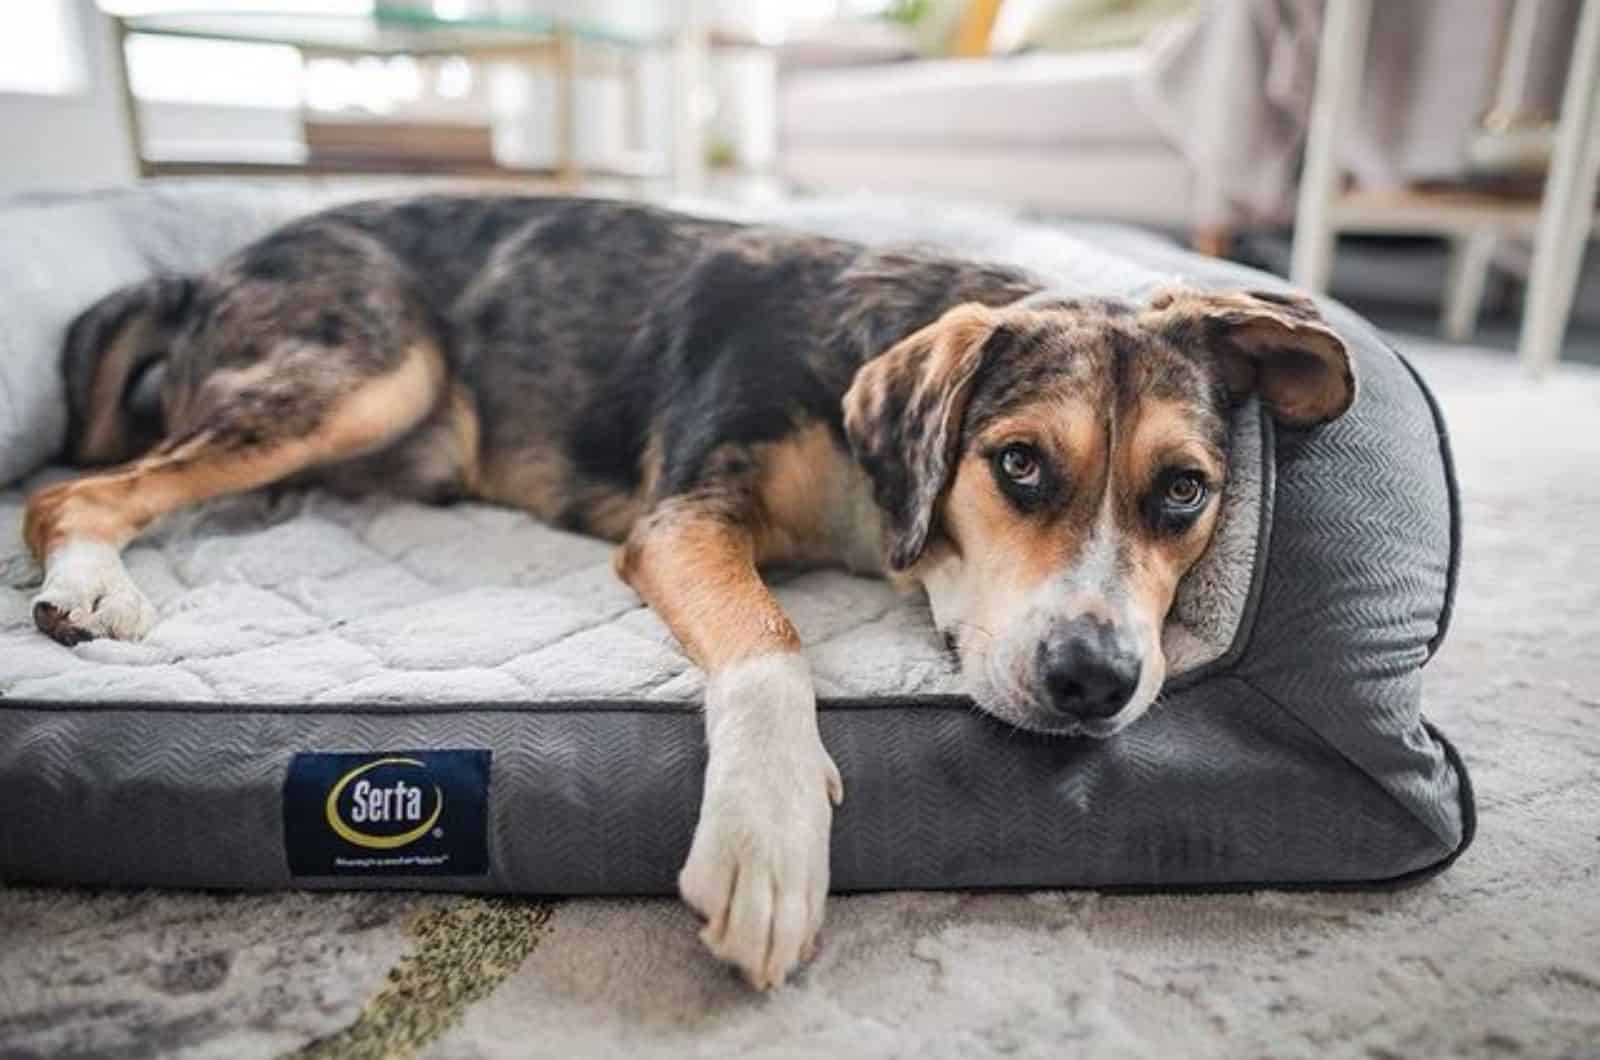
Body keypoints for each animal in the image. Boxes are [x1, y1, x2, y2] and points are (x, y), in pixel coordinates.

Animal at [18, 195, 1356, 992]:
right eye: (1017, 463)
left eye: (1183, 491)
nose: (1094, 680)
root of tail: (202, 272)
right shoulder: (683, 519)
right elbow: (769, 639)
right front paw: (769, 831)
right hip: (371, 370)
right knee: (67, 493)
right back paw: (86, 585)